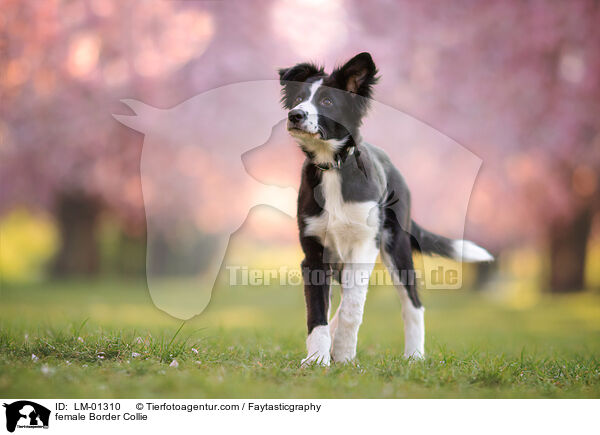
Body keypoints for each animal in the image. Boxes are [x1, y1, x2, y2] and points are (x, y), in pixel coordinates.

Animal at [280, 52, 492, 368]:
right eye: (298, 98)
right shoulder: (315, 250)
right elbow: (317, 310)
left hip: (397, 246)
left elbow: (353, 307)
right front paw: (318, 358)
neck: (333, 167)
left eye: (327, 101)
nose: (295, 115)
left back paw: (414, 355)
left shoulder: (365, 243)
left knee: (412, 303)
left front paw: (344, 356)